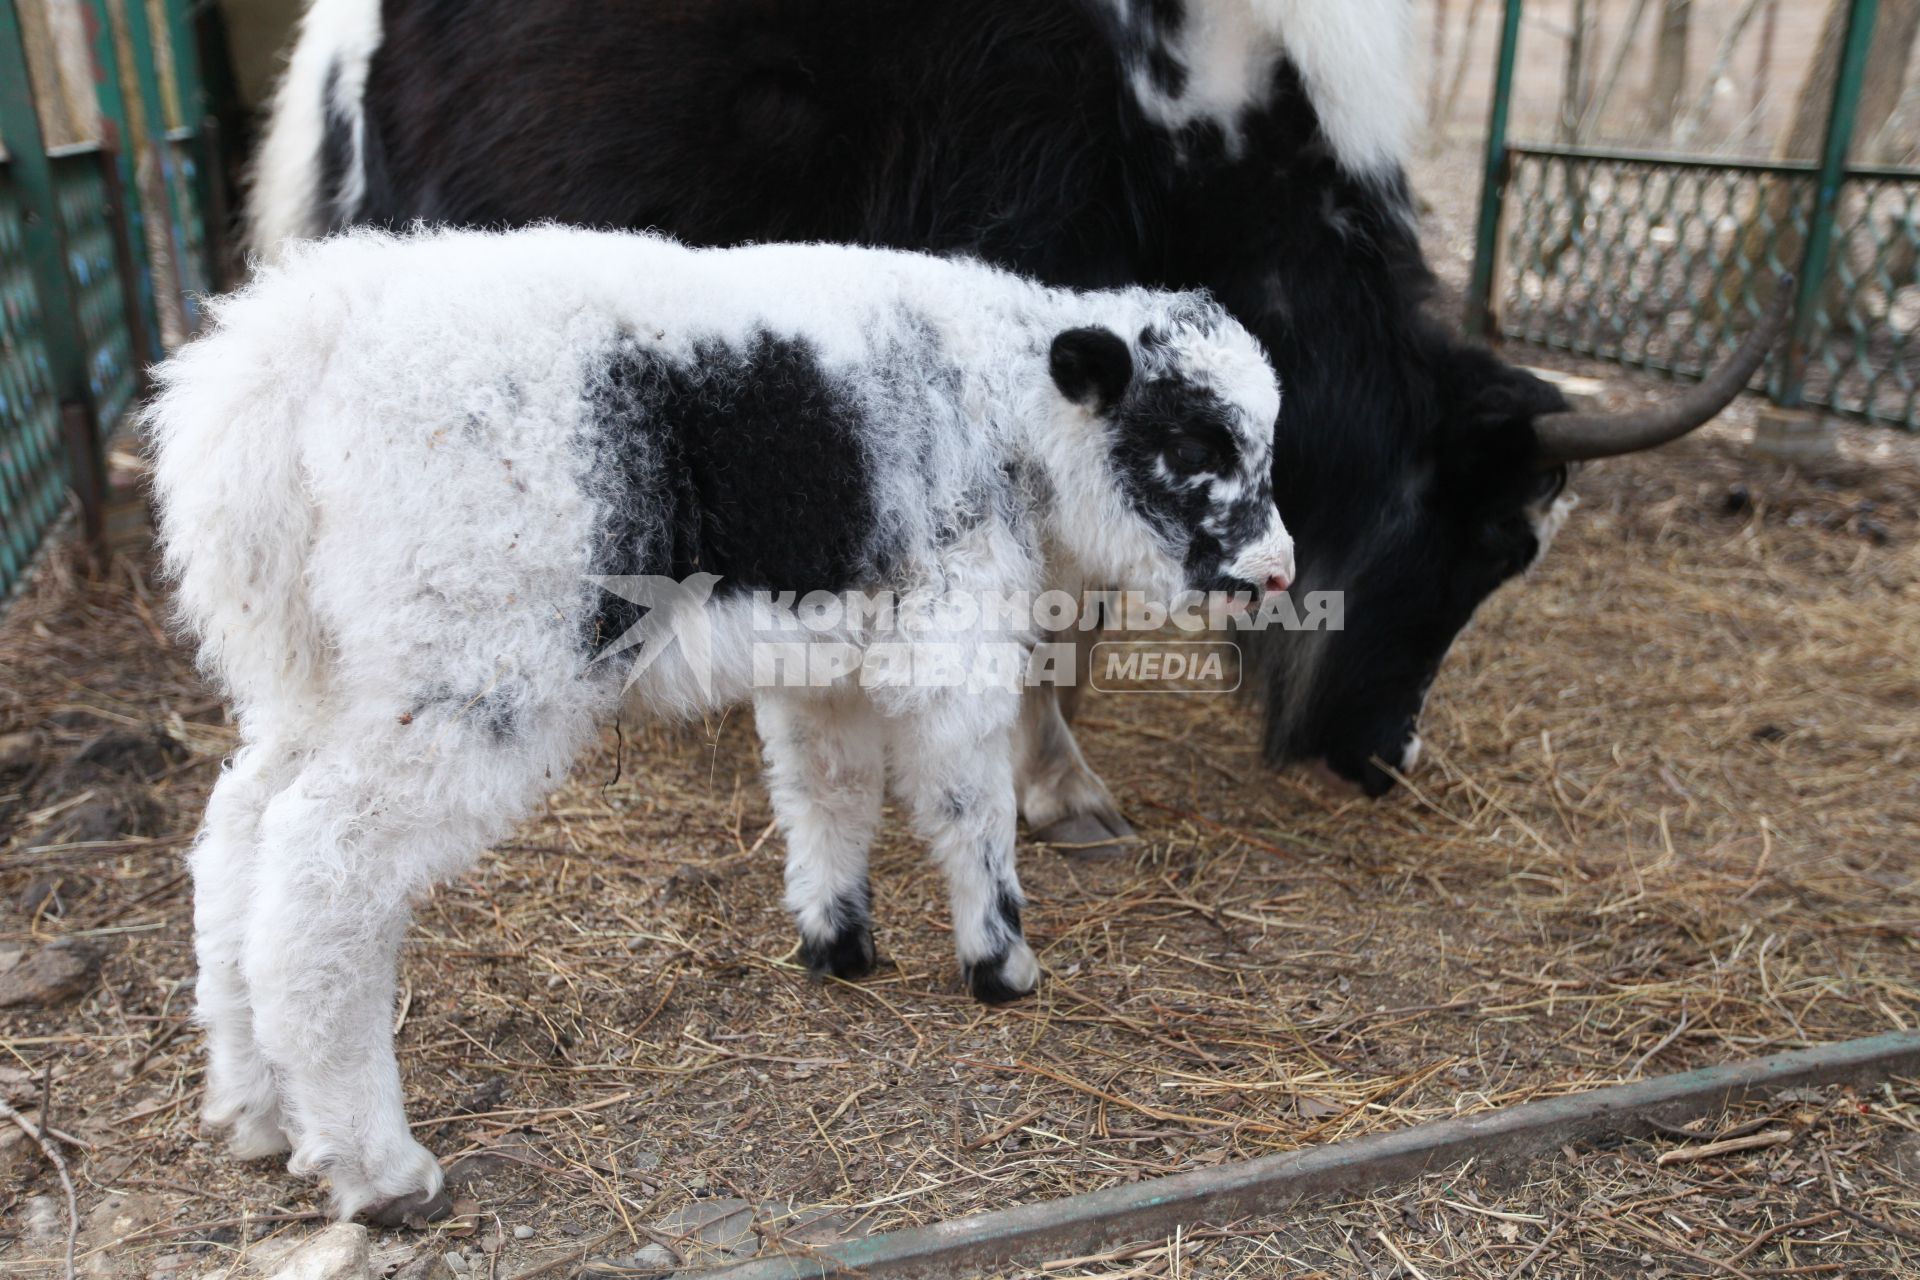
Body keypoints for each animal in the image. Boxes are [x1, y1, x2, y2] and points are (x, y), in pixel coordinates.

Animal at [145, 227, 1290, 1220]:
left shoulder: (825, 652)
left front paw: (839, 941)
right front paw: (999, 964)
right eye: (1192, 441)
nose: (1278, 572)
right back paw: (380, 1168)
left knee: (238, 835)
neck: (1005, 409)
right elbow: (967, 801)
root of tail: (300, 351)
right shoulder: (949, 635)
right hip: (472, 662)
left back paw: (255, 1106)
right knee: (322, 870)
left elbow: (826, 788)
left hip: (324, 667)